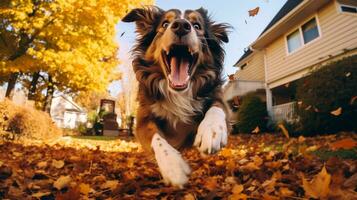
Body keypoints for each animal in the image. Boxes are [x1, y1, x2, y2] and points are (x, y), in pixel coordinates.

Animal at [121, 5, 229, 188]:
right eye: (165, 23)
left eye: (197, 26)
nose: (181, 26)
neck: (179, 94)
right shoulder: (143, 118)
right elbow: (156, 137)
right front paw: (173, 166)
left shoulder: (215, 94)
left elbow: (217, 106)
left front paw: (212, 131)